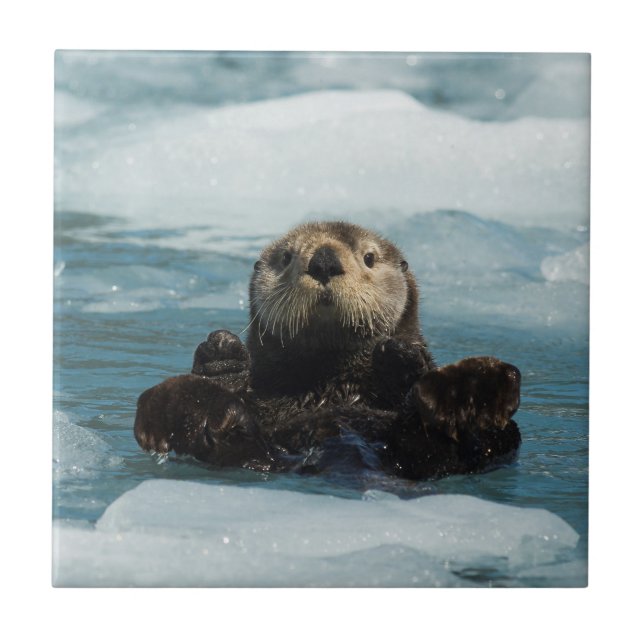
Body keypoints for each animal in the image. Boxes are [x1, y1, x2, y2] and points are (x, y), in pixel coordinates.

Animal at [134, 221, 521, 480]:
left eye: (369, 257)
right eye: (286, 256)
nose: (323, 261)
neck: (331, 385)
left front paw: (400, 356)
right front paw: (222, 357)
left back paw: (467, 393)